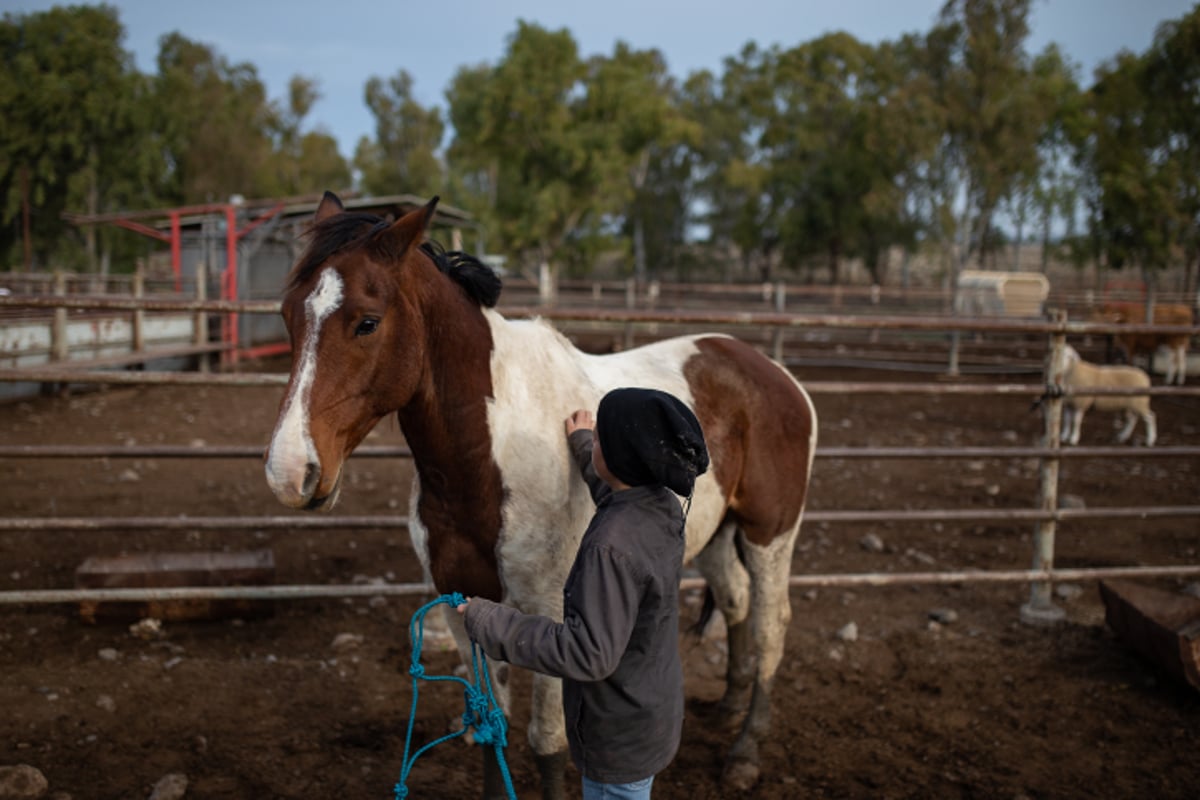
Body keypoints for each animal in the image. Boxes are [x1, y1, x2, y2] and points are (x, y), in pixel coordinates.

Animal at [264, 191, 820, 796]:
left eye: (367, 323)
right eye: (288, 316)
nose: (289, 473)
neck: (492, 453)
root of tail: (773, 372)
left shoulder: (557, 617)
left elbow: (547, 744)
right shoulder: (461, 607)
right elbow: (493, 730)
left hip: (771, 535)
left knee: (771, 624)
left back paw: (745, 752)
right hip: (717, 533)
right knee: (737, 601)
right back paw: (727, 708)